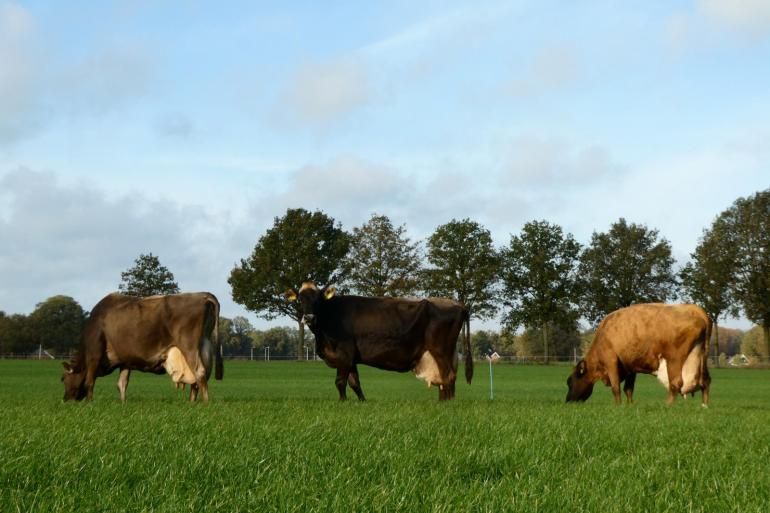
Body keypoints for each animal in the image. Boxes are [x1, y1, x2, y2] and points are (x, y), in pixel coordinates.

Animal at [62, 292, 222, 400]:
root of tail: (203, 295)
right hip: (204, 346)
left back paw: (205, 404)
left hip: (189, 347)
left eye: (63, 379)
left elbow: (90, 382)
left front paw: (89, 403)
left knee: (199, 372)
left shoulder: (94, 356)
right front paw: (123, 403)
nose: (65, 400)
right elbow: (121, 384)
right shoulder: (125, 361)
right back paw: (192, 403)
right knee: (198, 379)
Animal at [284, 284, 472, 400]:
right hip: (446, 353)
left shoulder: (344, 355)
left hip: (441, 350)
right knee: (444, 379)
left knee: (448, 376)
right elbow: (354, 383)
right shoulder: (351, 359)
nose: (309, 317)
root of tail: (458, 304)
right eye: (300, 299)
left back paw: (448, 404)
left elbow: (340, 382)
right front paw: (362, 401)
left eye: (318, 300)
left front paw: (342, 401)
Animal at [560, 302, 712, 406]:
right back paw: (704, 405)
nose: (567, 401)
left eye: (570, 382)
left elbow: (616, 387)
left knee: (675, 383)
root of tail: (695, 309)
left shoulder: (611, 361)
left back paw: (668, 405)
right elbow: (628, 389)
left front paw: (618, 406)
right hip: (701, 360)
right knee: (706, 381)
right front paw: (629, 405)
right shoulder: (630, 367)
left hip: (674, 359)